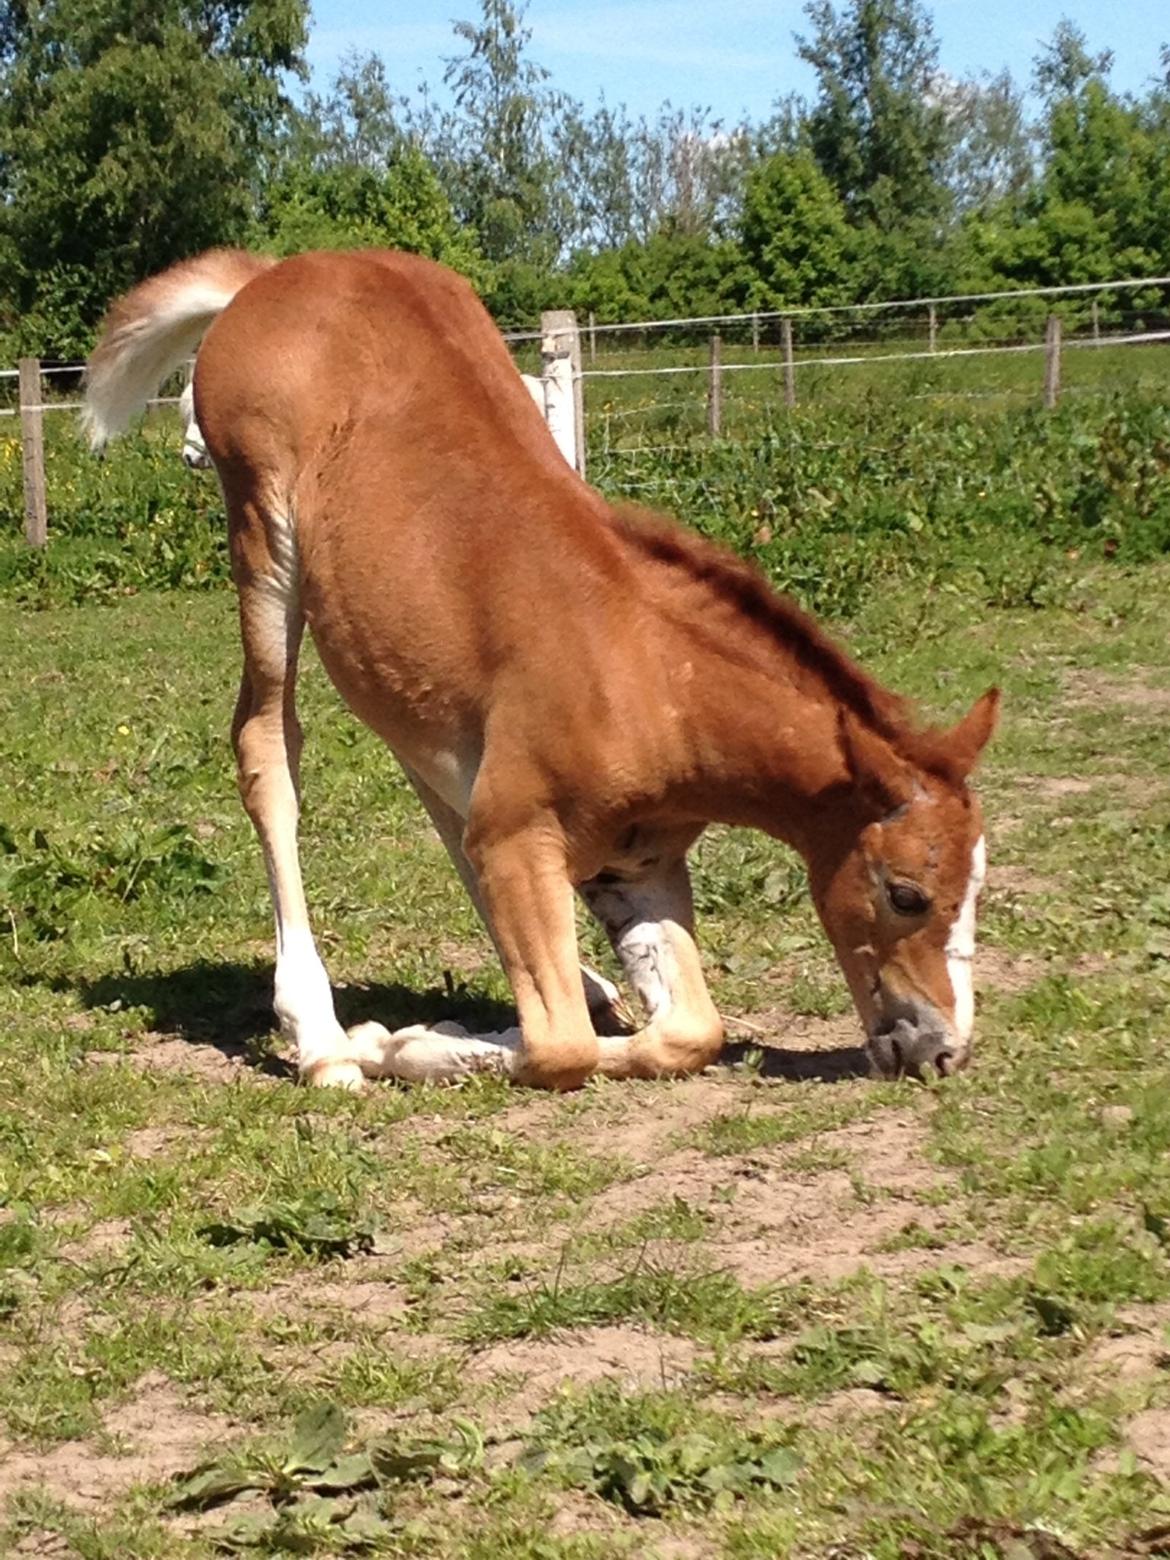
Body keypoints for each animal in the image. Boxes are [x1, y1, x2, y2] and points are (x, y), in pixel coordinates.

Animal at [82, 249, 998, 1092]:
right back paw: (319, 1036)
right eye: (907, 893)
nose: (941, 1047)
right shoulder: (523, 830)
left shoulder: (637, 863)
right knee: (269, 746)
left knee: (435, 791)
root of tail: (273, 271)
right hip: (263, 546)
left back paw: (574, 981)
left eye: (977, 886)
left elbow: (687, 1033)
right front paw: (395, 1043)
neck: (649, 678)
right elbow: (561, 1049)